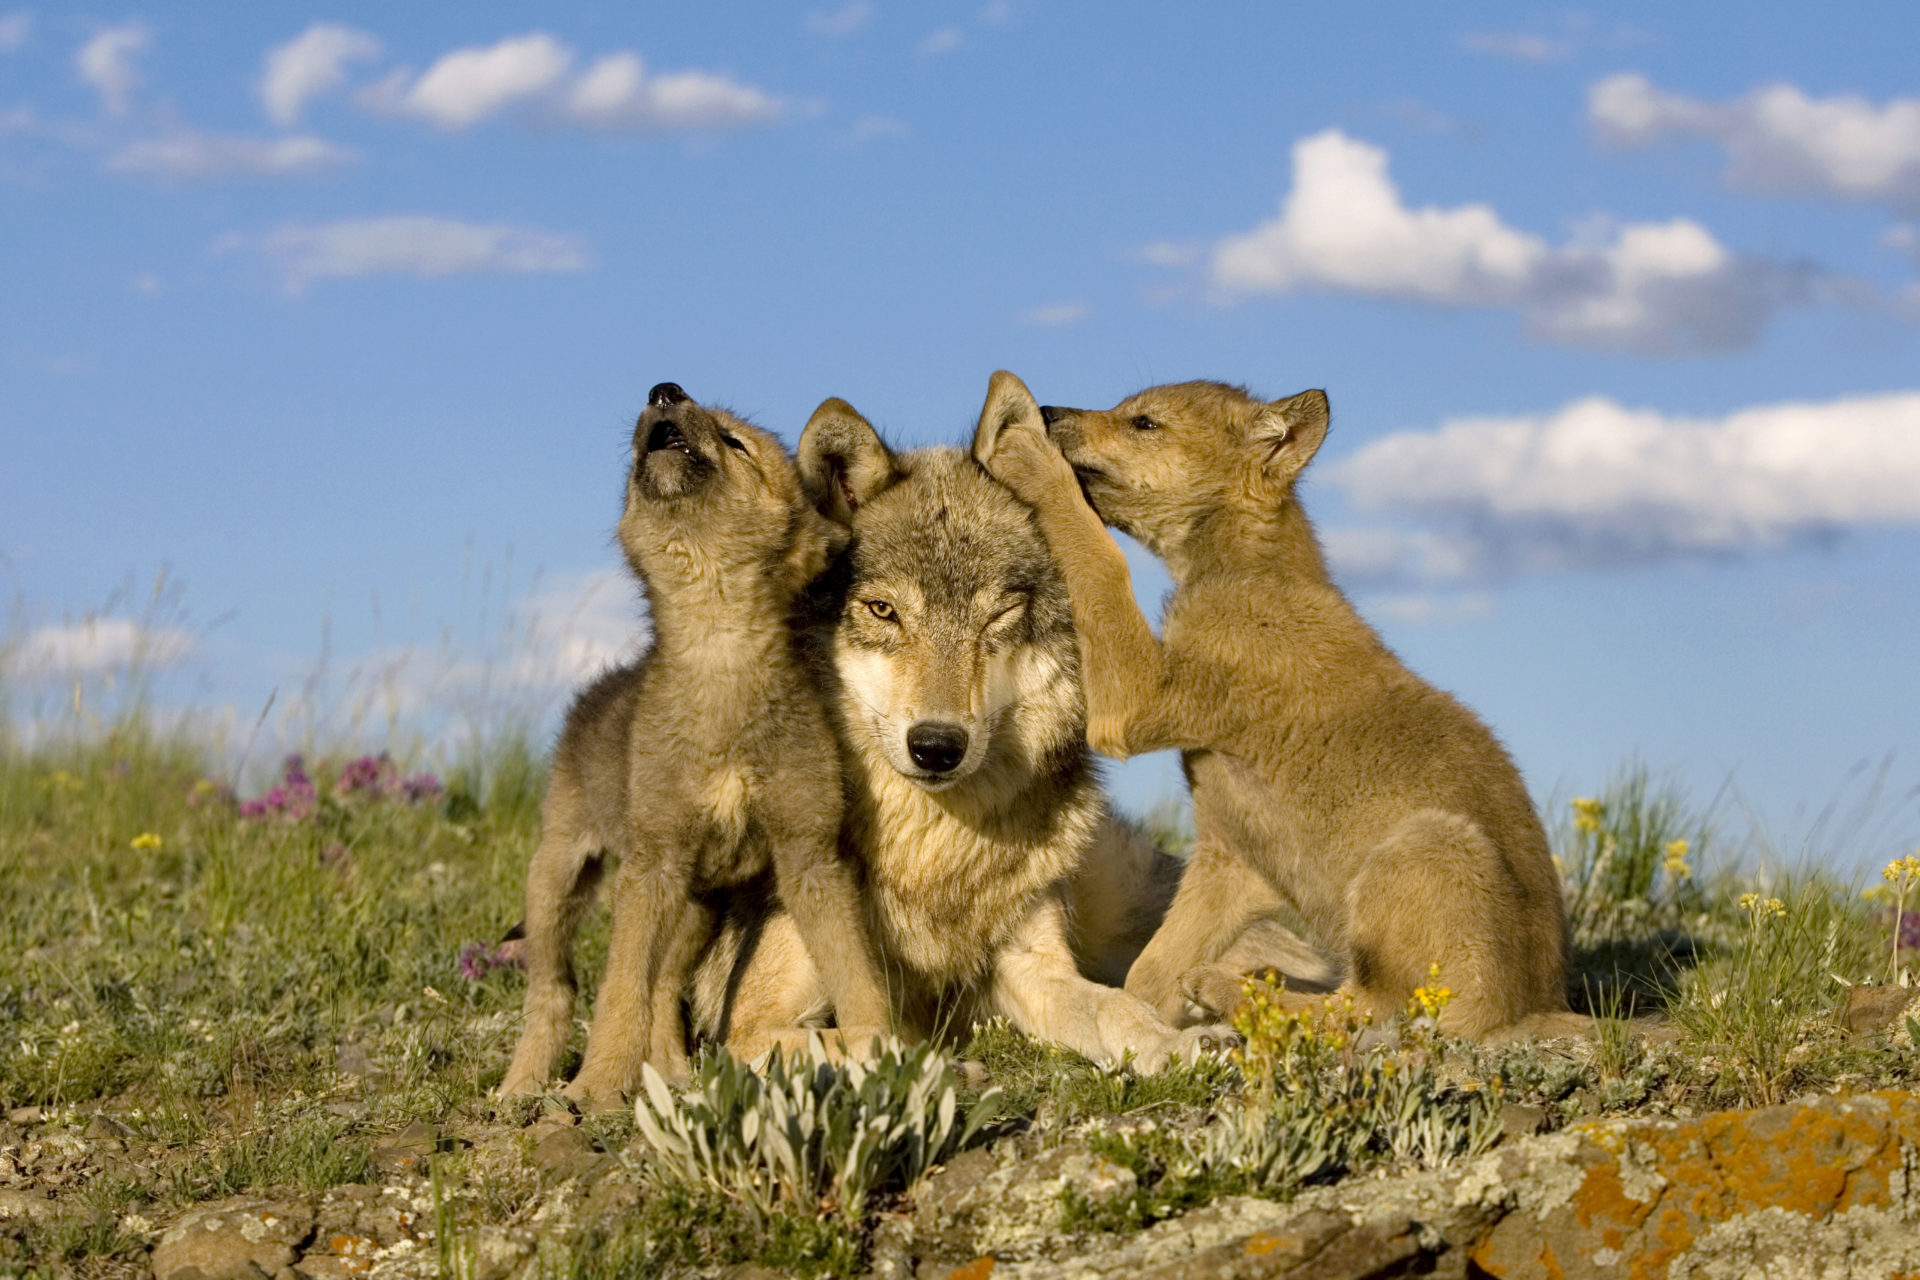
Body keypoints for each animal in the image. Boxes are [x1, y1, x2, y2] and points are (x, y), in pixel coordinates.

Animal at [491, 379, 887, 1105]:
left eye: (735, 441)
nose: (663, 389)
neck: (718, 646)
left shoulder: (810, 857)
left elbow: (857, 977)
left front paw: (887, 1050)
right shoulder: (652, 864)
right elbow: (619, 991)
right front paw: (596, 1087)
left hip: (698, 906)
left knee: (664, 985)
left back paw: (670, 1073)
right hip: (559, 875)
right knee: (554, 991)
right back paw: (523, 1086)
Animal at [691, 391, 1336, 1074]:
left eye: (999, 614)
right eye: (883, 610)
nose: (937, 747)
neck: (933, 855)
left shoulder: (1032, 966)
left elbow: (1113, 1007)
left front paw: (1175, 1044)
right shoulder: (750, 1027)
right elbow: (868, 1035)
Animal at [975, 370, 1574, 1043]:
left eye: (1144, 422)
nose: (1050, 411)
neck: (1242, 573)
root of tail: (1538, 1005)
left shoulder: (1137, 699)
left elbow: (1100, 557)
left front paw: (1026, 456)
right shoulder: (1231, 858)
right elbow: (1147, 975)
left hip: (1427, 843)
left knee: (1376, 1010)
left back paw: (1231, 987)